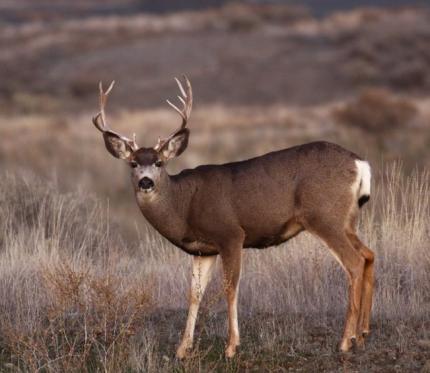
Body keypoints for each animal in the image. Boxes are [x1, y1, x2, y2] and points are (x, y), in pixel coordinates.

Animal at [90, 75, 372, 358]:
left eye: (159, 162)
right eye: (133, 164)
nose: (146, 182)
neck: (184, 205)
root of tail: (360, 163)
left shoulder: (230, 234)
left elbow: (230, 287)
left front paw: (231, 346)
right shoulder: (203, 250)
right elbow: (194, 293)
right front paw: (182, 349)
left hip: (324, 216)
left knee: (355, 262)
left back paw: (345, 341)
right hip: (346, 220)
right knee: (369, 255)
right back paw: (362, 335)